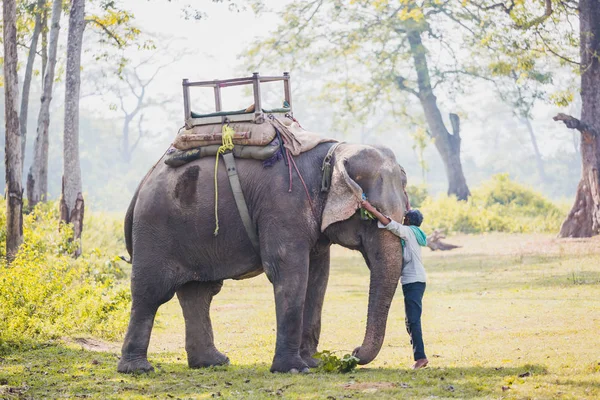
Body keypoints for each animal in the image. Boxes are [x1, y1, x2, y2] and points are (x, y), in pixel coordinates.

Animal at [117, 141, 408, 376]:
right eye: (370, 214)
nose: (354, 352)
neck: (333, 154)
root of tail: (144, 181)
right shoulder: (284, 204)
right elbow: (289, 272)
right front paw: (295, 369)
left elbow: (318, 278)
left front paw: (312, 364)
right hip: (156, 230)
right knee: (151, 293)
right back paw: (138, 369)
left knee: (198, 293)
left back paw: (213, 362)